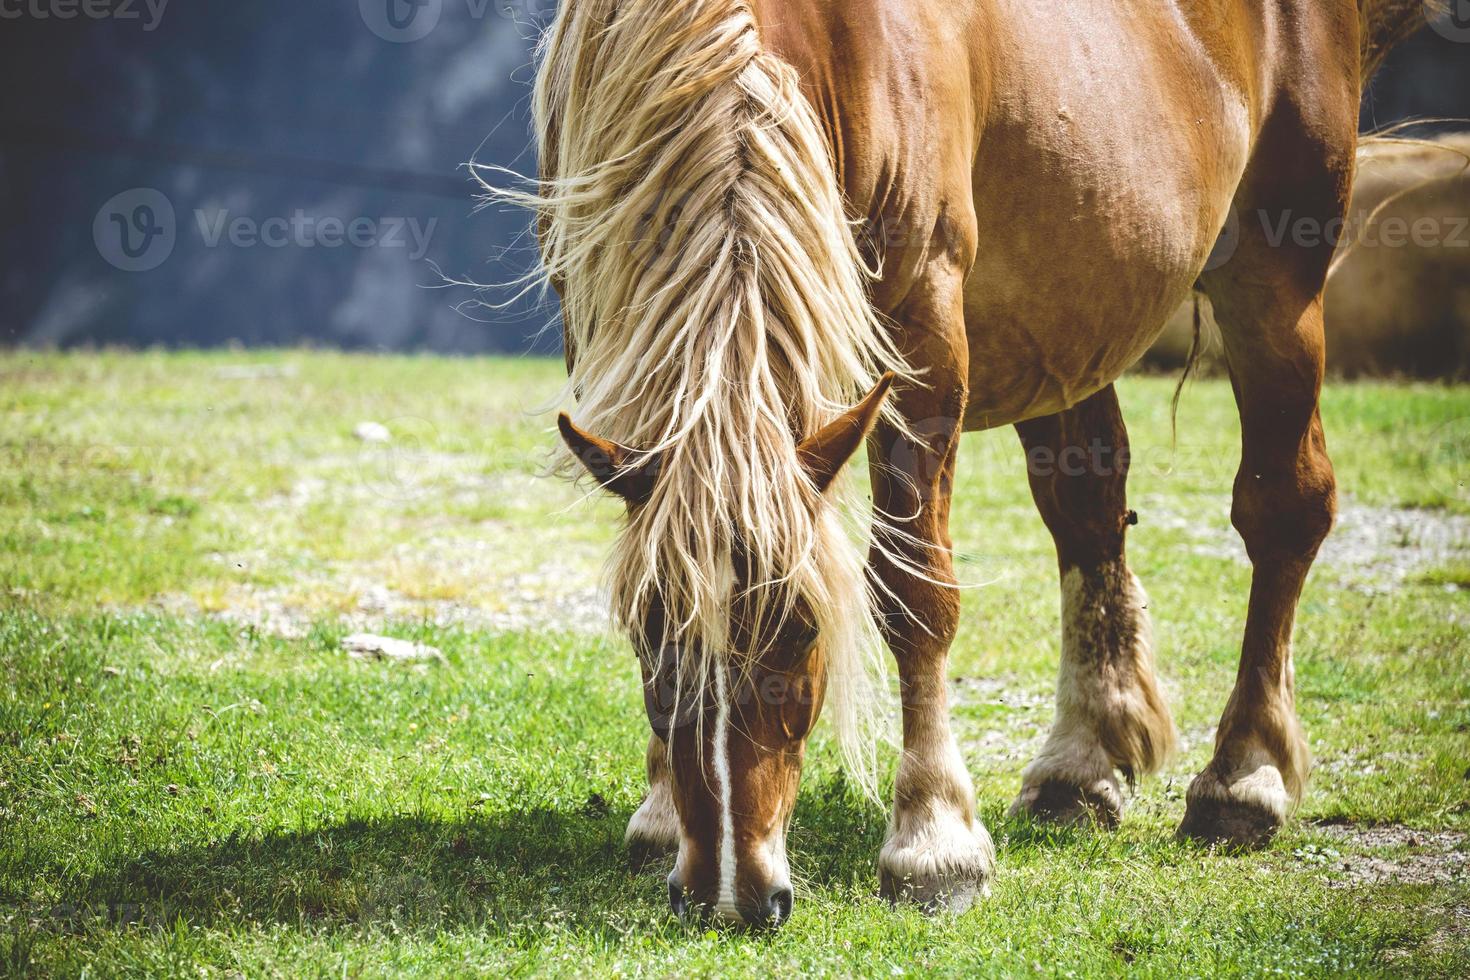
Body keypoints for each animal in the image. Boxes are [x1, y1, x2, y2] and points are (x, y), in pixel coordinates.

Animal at [514, 0, 1422, 928]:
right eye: (647, 633)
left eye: (804, 629)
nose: (732, 894)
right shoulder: (603, 324)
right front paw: (663, 809)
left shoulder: (923, 333)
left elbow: (914, 595)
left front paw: (933, 839)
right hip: (1073, 304)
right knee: (1088, 504)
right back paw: (1080, 766)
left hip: (1277, 274)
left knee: (1284, 508)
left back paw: (1244, 776)